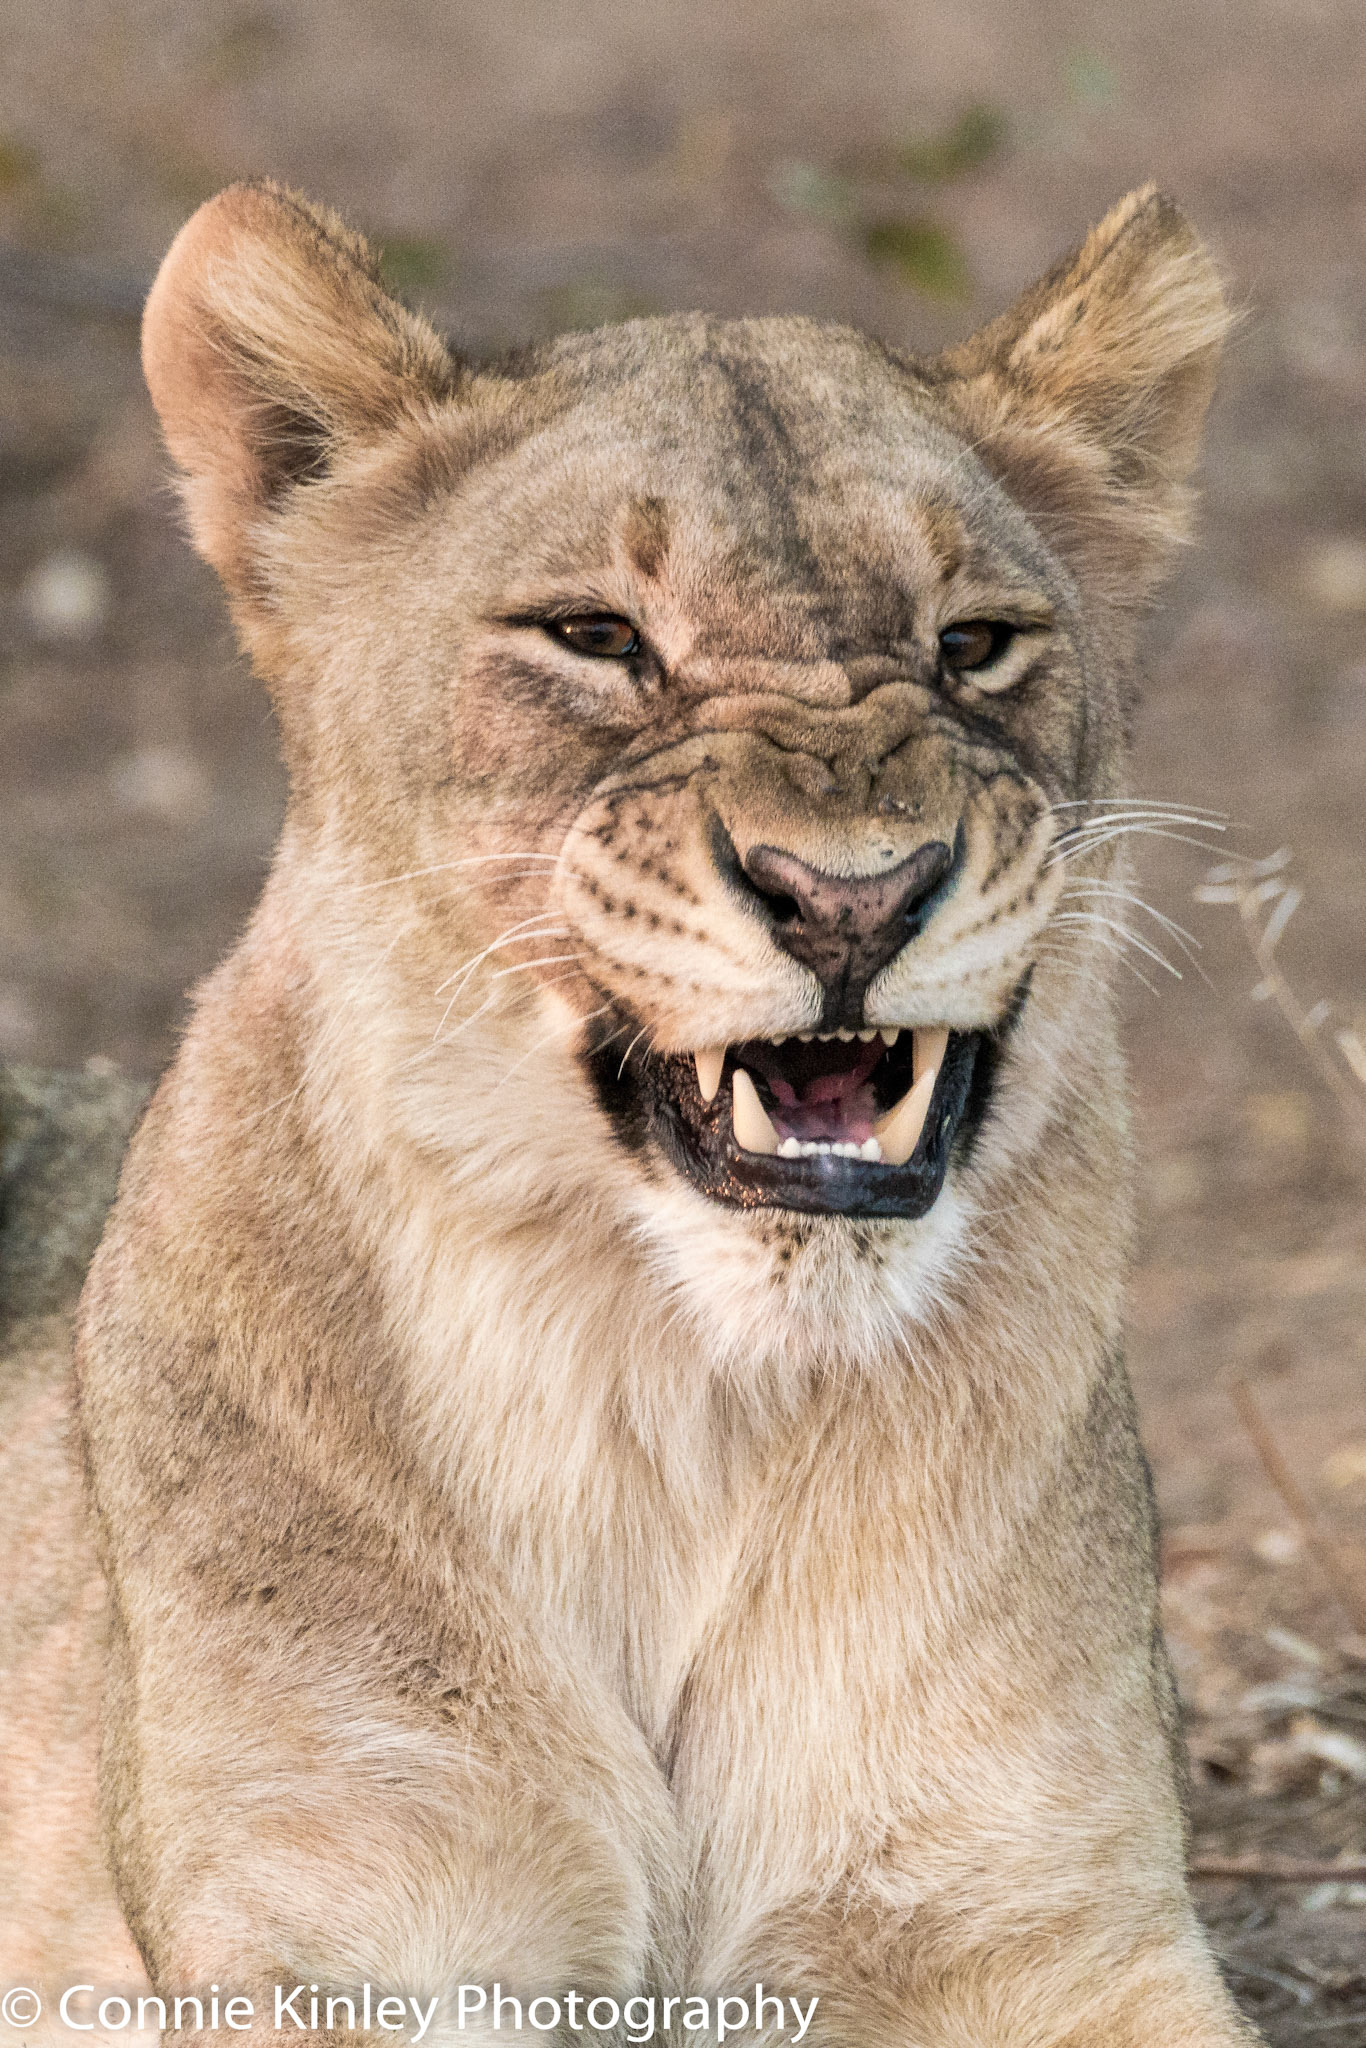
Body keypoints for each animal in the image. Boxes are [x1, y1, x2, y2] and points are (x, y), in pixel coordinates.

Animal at [11, 179, 1258, 2043]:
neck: (676, 1400)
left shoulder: (1052, 1921)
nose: (850, 897)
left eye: (973, 644)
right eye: (594, 638)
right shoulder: (341, 1926)